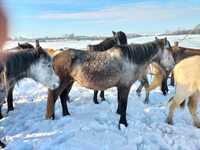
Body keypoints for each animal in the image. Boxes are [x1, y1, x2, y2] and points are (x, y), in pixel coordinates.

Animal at [46, 37, 174, 127]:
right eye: (169, 49)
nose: (173, 65)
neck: (130, 60)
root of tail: (55, 55)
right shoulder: (125, 87)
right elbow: (124, 104)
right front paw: (123, 123)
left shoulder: (120, 86)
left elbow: (120, 102)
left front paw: (118, 114)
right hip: (63, 83)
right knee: (54, 97)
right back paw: (52, 117)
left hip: (69, 82)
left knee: (63, 97)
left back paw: (66, 114)